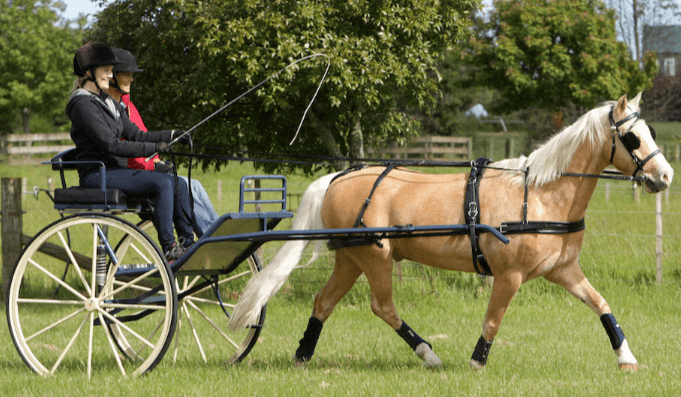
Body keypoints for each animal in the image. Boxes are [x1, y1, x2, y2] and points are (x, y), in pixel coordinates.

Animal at [228, 93, 668, 368]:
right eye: (632, 137)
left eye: (652, 132)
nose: (665, 175)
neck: (541, 195)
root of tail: (339, 177)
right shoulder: (508, 276)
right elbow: (492, 321)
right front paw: (476, 362)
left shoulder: (564, 270)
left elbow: (601, 304)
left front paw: (626, 358)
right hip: (376, 256)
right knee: (382, 307)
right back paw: (428, 354)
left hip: (352, 259)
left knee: (323, 302)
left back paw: (303, 355)